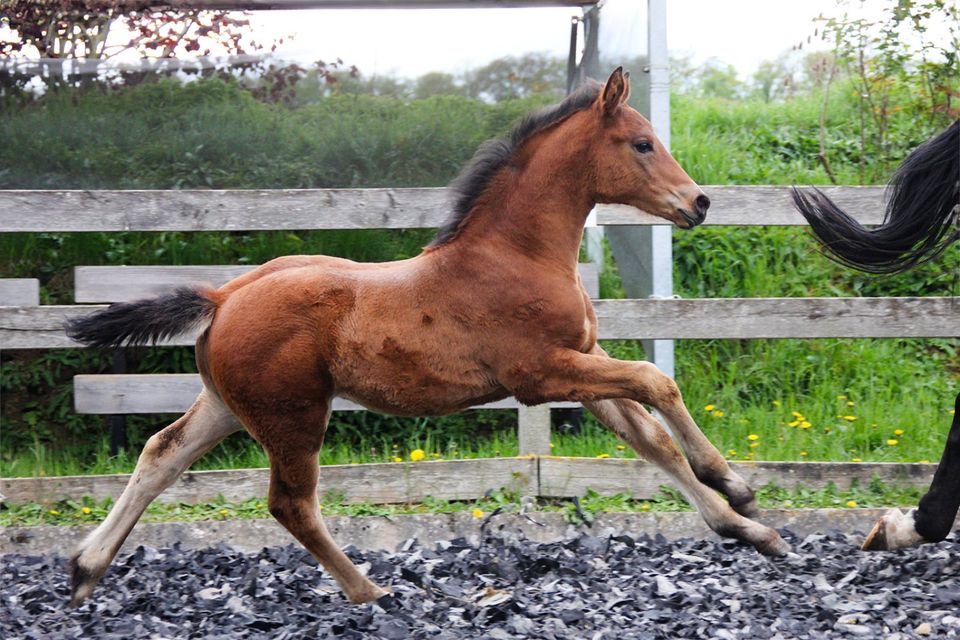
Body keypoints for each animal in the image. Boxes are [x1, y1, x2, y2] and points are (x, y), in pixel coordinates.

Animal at [65, 70, 788, 604]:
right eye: (641, 144)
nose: (698, 203)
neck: (516, 254)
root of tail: (224, 296)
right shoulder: (541, 372)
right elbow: (656, 382)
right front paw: (734, 482)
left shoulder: (581, 365)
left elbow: (652, 441)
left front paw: (748, 529)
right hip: (294, 415)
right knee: (290, 504)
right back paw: (371, 592)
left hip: (226, 405)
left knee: (161, 455)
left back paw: (83, 571)